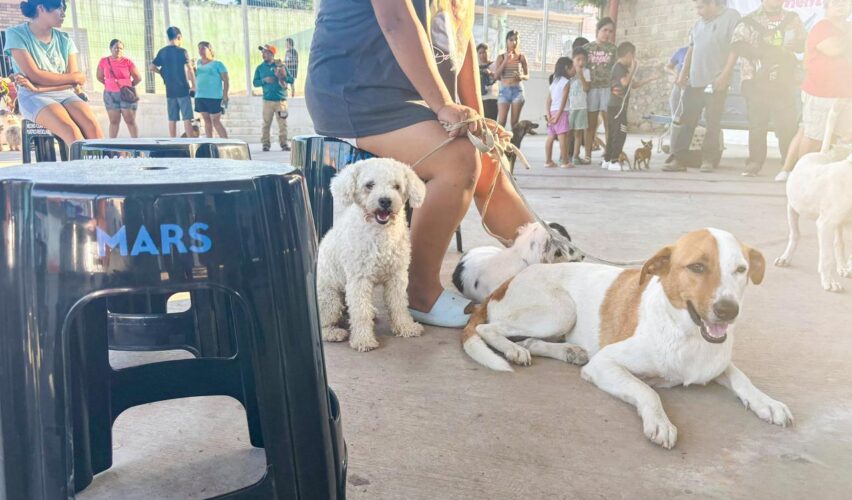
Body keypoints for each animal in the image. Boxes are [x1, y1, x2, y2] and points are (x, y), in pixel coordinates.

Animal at [317, 158, 427, 352]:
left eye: (396, 186)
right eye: (369, 185)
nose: (385, 201)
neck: (380, 233)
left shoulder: (397, 276)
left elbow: (399, 304)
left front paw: (405, 327)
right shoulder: (359, 280)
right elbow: (361, 312)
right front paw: (363, 340)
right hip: (329, 299)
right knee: (322, 325)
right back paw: (333, 333)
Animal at [462, 228, 792, 449]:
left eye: (741, 270)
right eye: (697, 267)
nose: (728, 310)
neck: (686, 335)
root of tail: (506, 281)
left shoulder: (716, 364)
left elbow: (741, 378)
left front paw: (767, 402)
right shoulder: (604, 364)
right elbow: (647, 391)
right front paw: (660, 421)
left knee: (529, 340)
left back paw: (568, 351)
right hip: (560, 310)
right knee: (487, 329)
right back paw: (512, 351)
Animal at [774, 103, 852, 292]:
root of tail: (821, 154)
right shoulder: (825, 224)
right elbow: (826, 258)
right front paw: (829, 282)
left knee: (839, 243)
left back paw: (843, 267)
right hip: (792, 209)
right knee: (795, 235)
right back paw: (786, 258)